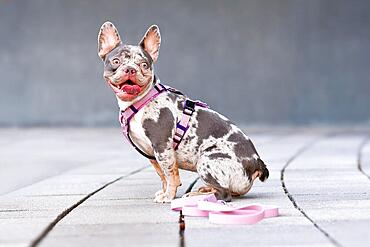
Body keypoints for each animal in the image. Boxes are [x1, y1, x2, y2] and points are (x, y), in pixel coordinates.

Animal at [97, 21, 268, 203]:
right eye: (116, 61)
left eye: (144, 65)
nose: (130, 69)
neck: (140, 101)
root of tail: (257, 163)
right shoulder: (153, 155)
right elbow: (162, 175)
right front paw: (164, 191)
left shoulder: (162, 147)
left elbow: (170, 174)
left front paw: (168, 196)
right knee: (231, 191)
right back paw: (205, 190)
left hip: (206, 159)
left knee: (224, 194)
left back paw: (197, 195)